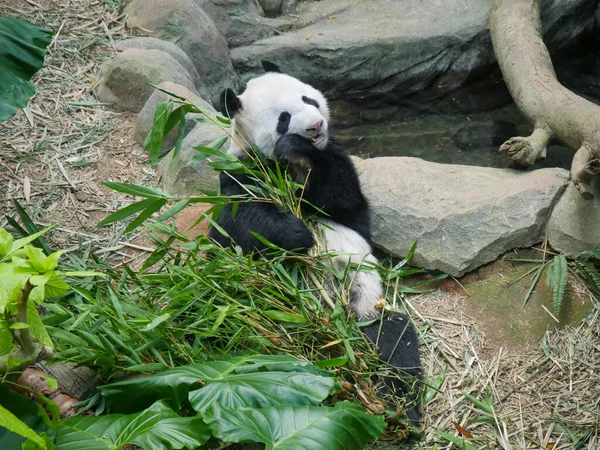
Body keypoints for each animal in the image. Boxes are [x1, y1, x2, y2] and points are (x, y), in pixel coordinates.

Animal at [209, 68, 424, 424]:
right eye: (283, 118)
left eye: (308, 99)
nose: (316, 126)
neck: (286, 164)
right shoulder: (240, 169)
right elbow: (240, 222)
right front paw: (298, 234)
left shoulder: (334, 160)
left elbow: (344, 201)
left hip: (368, 312)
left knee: (395, 344)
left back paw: (399, 407)